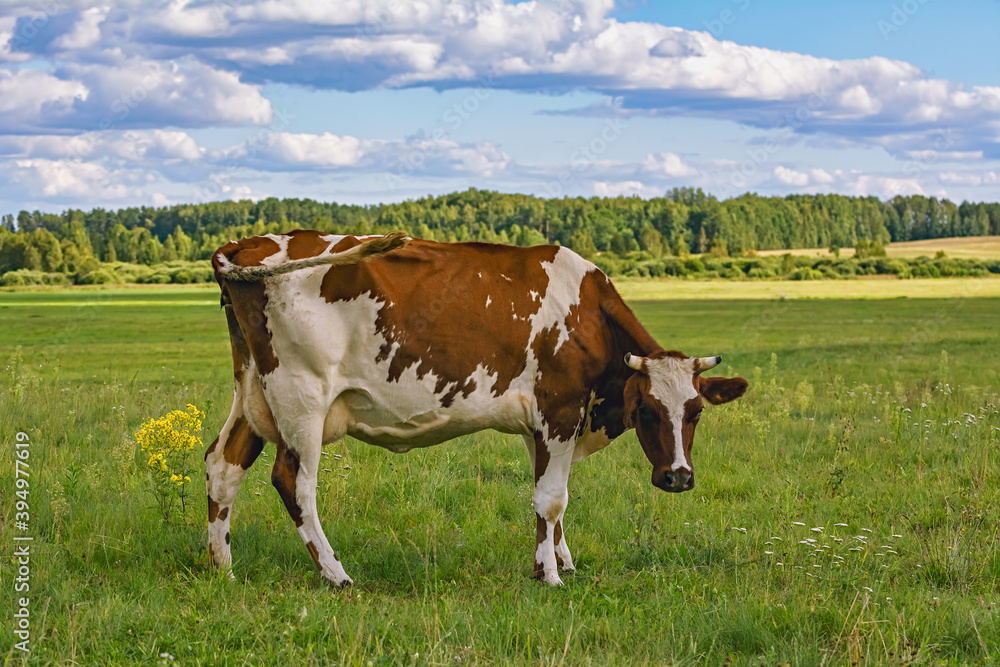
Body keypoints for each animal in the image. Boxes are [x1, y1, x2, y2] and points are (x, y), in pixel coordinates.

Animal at [205, 232, 752, 588]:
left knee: (222, 465)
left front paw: (558, 561)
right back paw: (336, 574)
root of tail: (246, 244)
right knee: (293, 481)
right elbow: (552, 499)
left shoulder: (543, 427)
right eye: (647, 411)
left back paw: (222, 567)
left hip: (254, 393)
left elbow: (549, 501)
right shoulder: (560, 410)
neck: (588, 312)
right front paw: (550, 577)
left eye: (695, 412)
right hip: (301, 397)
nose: (678, 477)